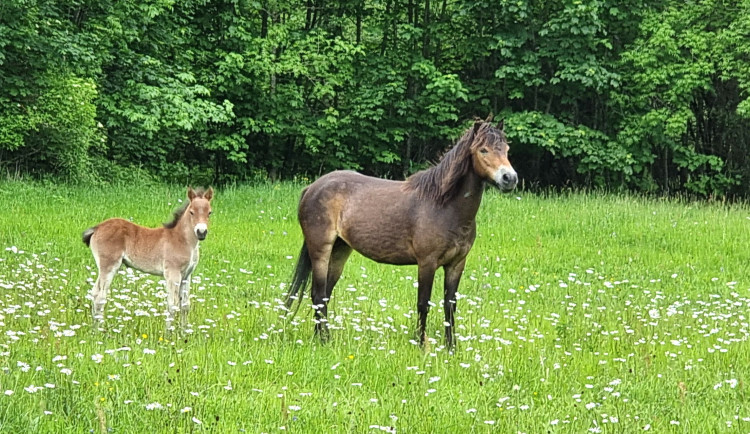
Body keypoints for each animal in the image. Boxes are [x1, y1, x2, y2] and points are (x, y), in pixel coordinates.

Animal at [82, 186, 214, 328]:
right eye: (191, 212)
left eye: (209, 212)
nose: (201, 232)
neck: (182, 239)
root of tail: (97, 228)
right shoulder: (172, 273)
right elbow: (172, 305)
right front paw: (169, 333)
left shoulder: (186, 276)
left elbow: (185, 305)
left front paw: (184, 331)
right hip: (109, 266)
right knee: (100, 296)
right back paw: (100, 329)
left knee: (94, 293)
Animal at [284, 116, 520, 346]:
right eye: (483, 150)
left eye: (507, 149)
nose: (510, 178)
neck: (444, 207)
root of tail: (312, 187)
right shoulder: (427, 263)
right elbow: (423, 303)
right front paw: (421, 344)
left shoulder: (456, 264)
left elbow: (450, 306)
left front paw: (451, 347)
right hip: (320, 250)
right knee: (317, 294)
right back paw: (323, 340)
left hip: (340, 250)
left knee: (324, 294)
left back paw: (323, 338)